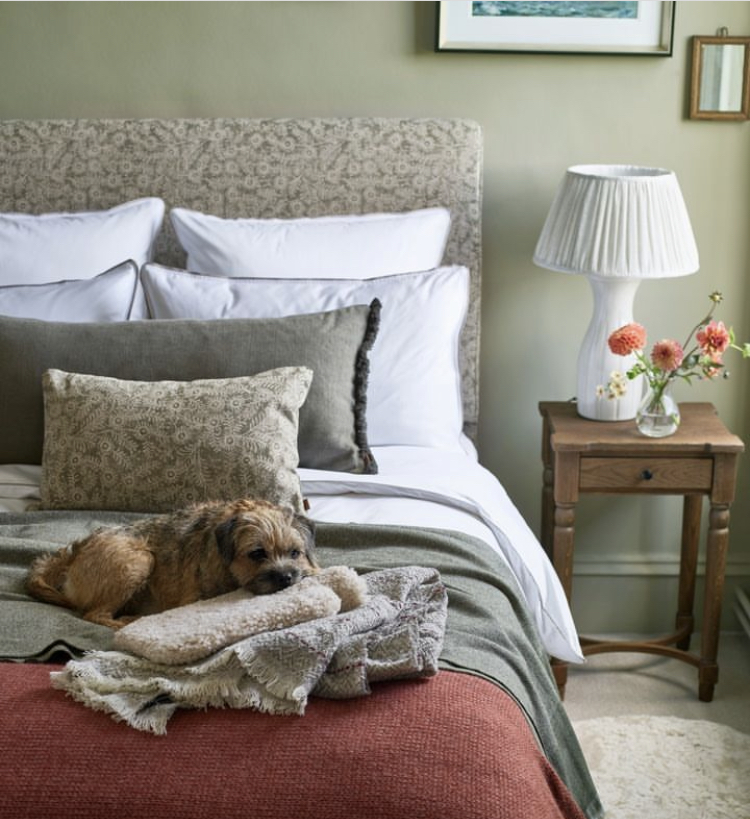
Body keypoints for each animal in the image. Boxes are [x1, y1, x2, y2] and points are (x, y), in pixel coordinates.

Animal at [25, 496, 320, 632]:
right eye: (257, 554)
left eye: (295, 552)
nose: (286, 578)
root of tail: (76, 549)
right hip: (138, 559)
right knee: (94, 615)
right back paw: (130, 621)